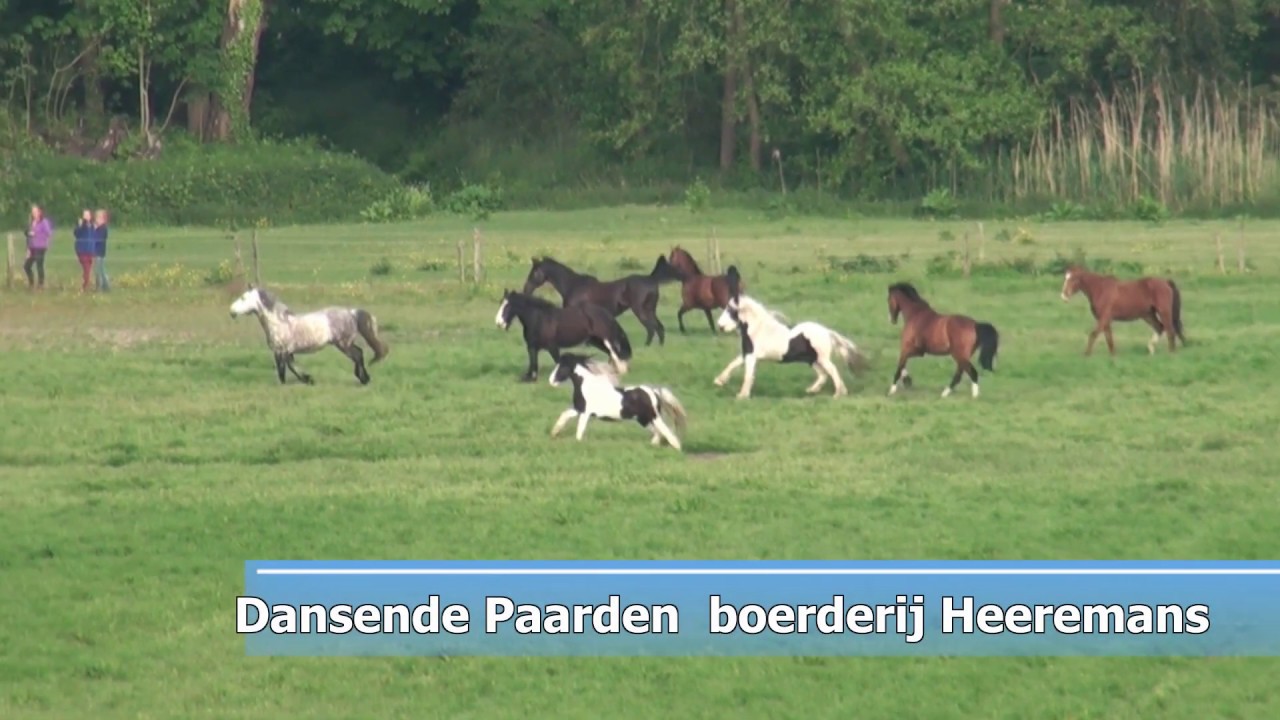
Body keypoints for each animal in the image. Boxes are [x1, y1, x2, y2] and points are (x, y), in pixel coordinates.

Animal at [229, 286, 389, 385]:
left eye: (243, 298)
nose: (231, 312)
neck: (279, 322)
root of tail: (351, 313)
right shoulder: (288, 352)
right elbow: (292, 367)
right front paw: (308, 379)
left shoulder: (280, 351)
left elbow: (283, 370)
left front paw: (289, 383)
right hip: (345, 344)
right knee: (359, 354)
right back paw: (364, 378)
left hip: (343, 344)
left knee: (358, 355)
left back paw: (364, 379)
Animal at [495, 290, 633, 382]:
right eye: (501, 303)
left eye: (508, 305)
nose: (499, 323)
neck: (539, 319)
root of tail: (605, 313)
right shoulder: (532, 347)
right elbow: (533, 365)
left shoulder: (552, 347)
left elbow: (558, 362)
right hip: (595, 341)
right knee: (611, 354)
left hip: (605, 339)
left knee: (615, 353)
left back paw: (621, 371)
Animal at [521, 255, 684, 346]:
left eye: (534, 273)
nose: (525, 290)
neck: (573, 285)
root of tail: (651, 279)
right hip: (650, 309)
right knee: (659, 327)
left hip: (640, 310)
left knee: (651, 328)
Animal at [548, 353, 688, 451]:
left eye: (563, 367)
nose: (551, 381)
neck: (585, 385)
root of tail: (654, 392)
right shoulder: (579, 408)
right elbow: (564, 415)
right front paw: (554, 433)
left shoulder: (585, 413)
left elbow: (580, 429)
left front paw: (577, 443)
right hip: (644, 419)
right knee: (658, 433)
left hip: (654, 417)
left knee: (666, 432)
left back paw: (677, 447)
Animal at [713, 267, 869, 399]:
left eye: (731, 310)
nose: (720, 326)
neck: (758, 330)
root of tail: (826, 331)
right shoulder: (747, 353)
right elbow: (733, 364)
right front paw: (719, 381)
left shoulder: (751, 356)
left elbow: (747, 375)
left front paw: (742, 395)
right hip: (812, 359)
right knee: (823, 375)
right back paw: (811, 390)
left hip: (821, 358)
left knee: (832, 370)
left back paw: (838, 393)